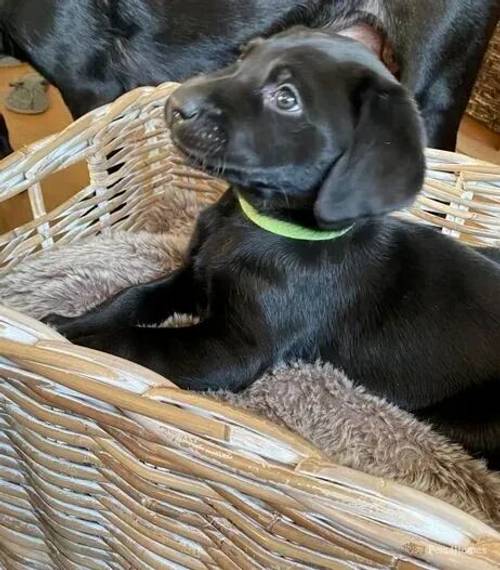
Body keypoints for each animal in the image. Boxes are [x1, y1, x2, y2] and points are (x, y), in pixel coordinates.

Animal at [44, 28, 500, 466]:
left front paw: (80, 344)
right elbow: (132, 298)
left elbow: (140, 342)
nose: (175, 102)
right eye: (245, 57)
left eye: (286, 98)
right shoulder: (192, 276)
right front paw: (70, 322)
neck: (252, 224)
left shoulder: (232, 350)